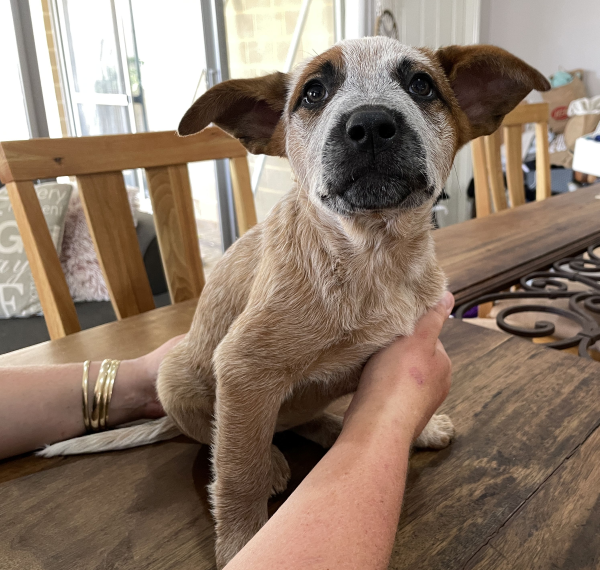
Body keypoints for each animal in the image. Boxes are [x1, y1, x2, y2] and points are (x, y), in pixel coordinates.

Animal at [41, 37, 548, 564]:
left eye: (422, 85)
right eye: (313, 92)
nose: (370, 125)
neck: (372, 256)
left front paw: (422, 428)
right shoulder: (242, 367)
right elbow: (238, 477)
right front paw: (241, 543)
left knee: (298, 419)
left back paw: (328, 430)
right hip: (177, 378)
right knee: (225, 440)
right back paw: (271, 460)